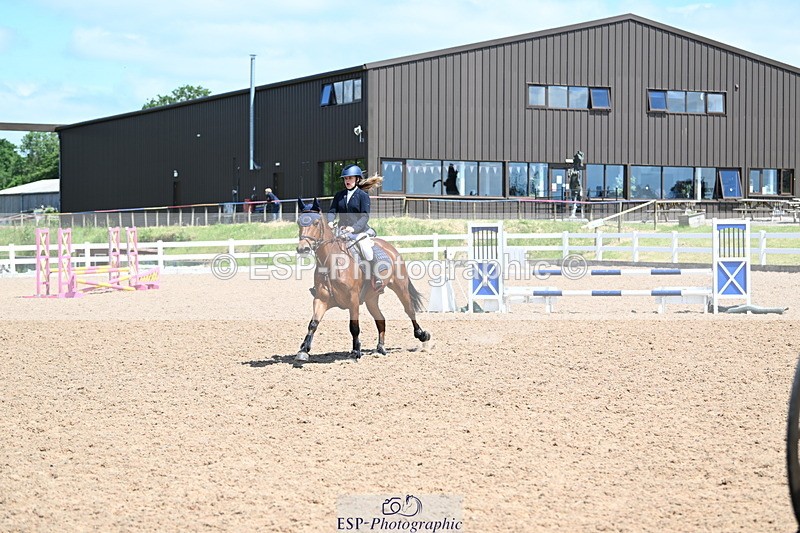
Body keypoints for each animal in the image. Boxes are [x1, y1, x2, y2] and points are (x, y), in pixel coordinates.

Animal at [294, 198, 431, 361]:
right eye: (299, 222)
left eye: (315, 223)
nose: (303, 249)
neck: (331, 263)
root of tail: (390, 247)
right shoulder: (321, 299)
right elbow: (313, 324)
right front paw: (303, 351)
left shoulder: (353, 299)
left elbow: (354, 326)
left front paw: (355, 351)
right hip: (371, 298)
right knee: (381, 319)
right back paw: (380, 348)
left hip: (400, 287)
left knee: (409, 310)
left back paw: (422, 335)